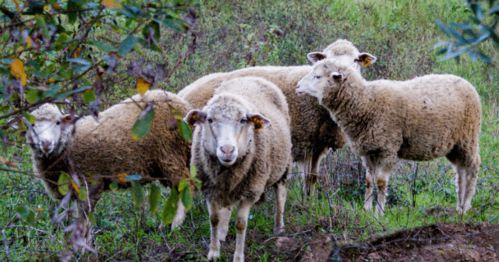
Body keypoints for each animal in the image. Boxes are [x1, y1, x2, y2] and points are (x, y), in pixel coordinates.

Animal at [25, 90, 194, 244]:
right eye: (32, 125)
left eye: (57, 122)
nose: (46, 144)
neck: (69, 144)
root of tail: (183, 103)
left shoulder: (90, 184)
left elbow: (84, 221)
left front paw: (83, 247)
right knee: (177, 190)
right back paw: (165, 225)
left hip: (171, 154)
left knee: (187, 186)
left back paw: (175, 226)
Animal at [178, 40, 376, 198]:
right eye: (324, 60)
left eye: (356, 60)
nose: (341, 74)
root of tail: (184, 91)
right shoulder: (306, 142)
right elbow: (307, 177)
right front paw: (306, 204)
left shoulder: (318, 144)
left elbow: (312, 178)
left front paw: (310, 201)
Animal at [184, 77, 292, 260]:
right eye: (209, 120)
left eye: (242, 120)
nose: (227, 150)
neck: (228, 171)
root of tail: (251, 77)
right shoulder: (210, 189)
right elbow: (214, 219)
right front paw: (214, 252)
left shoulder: (250, 192)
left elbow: (241, 224)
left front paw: (238, 257)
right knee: (226, 209)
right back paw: (222, 233)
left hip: (283, 167)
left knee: (281, 195)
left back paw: (279, 228)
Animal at [296, 59, 480, 215]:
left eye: (318, 76)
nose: (297, 87)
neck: (366, 102)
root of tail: (467, 83)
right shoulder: (368, 149)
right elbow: (368, 181)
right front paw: (366, 210)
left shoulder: (388, 148)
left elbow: (381, 182)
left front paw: (379, 213)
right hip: (454, 145)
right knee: (461, 171)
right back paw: (459, 206)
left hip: (468, 137)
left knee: (472, 167)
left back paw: (466, 206)